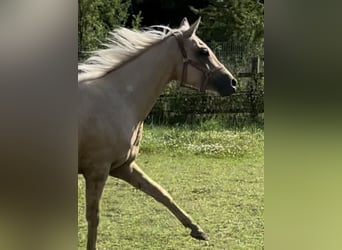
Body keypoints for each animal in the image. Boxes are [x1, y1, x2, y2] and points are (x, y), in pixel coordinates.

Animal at [79, 18, 236, 250]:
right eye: (203, 51)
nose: (232, 83)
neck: (119, 99)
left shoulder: (123, 167)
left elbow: (161, 193)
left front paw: (197, 230)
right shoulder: (97, 171)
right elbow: (93, 218)